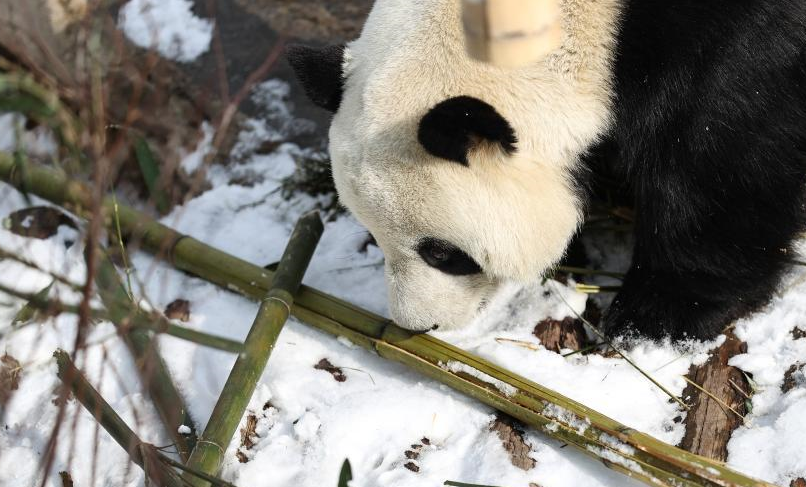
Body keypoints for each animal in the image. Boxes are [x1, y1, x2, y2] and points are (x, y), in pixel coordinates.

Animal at [288, 0, 806, 340]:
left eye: (442, 253)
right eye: (374, 237)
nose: (418, 324)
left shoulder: (727, 41)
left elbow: (718, 159)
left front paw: (658, 314)